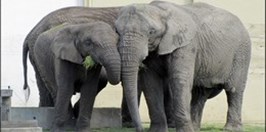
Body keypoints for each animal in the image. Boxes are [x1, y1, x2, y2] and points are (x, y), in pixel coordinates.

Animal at [115, 1, 250, 132]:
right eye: (117, 32)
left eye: (151, 32)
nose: (140, 129)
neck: (160, 9)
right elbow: (150, 83)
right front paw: (157, 131)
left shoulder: (186, 45)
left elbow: (179, 81)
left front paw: (184, 131)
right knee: (200, 93)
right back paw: (195, 128)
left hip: (241, 53)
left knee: (233, 90)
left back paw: (231, 129)